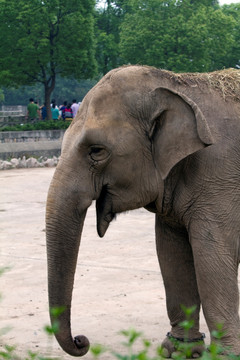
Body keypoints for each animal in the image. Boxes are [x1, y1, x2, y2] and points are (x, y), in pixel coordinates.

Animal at [46, 65, 240, 358]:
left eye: (96, 151)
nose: (82, 340)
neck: (178, 83)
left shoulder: (220, 178)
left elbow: (212, 259)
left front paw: (225, 355)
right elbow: (172, 255)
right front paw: (178, 350)